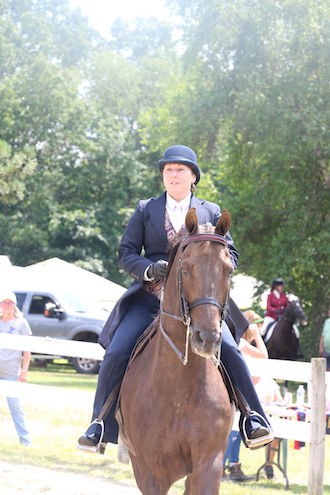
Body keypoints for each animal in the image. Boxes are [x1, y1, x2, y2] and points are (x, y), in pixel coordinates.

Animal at [116, 209, 235, 495]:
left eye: (228, 270)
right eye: (185, 268)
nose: (207, 337)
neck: (180, 387)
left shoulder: (209, 465)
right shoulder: (150, 472)